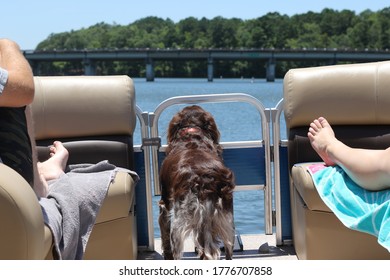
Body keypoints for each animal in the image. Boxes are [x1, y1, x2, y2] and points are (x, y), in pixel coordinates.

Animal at [158, 105, 235, 260]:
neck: (191, 134)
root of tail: (205, 179)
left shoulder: (165, 206)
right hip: (226, 219)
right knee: (227, 250)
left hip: (178, 222)